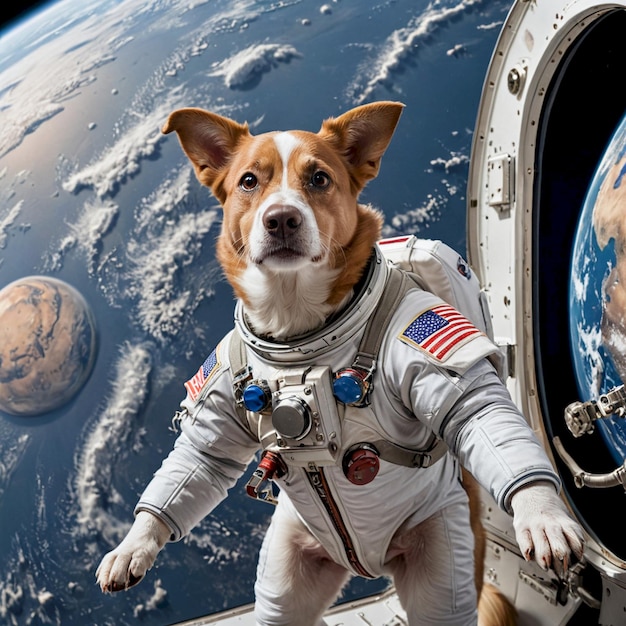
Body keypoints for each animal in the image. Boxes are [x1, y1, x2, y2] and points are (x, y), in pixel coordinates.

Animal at [95, 102, 584, 624]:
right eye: (248, 181)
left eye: (319, 178)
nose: (282, 219)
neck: (299, 331)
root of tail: (370, 564)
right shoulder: (225, 379)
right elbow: (203, 455)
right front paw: (133, 545)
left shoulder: (418, 338)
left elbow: (476, 409)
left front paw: (542, 512)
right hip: (290, 565)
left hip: (440, 550)